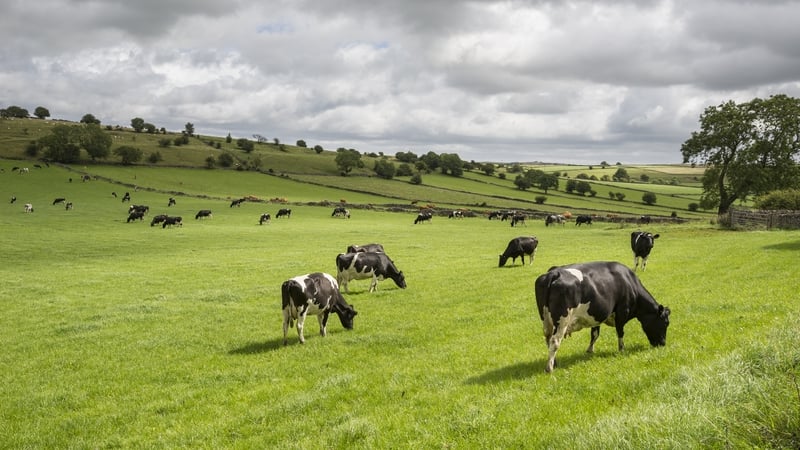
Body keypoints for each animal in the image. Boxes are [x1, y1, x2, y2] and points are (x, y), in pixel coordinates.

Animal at [534, 261, 671, 373]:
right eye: (665, 323)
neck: (630, 283)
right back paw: (549, 368)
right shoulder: (622, 312)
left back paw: (554, 362)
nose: (663, 343)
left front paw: (590, 350)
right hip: (562, 320)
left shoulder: (597, 315)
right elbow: (620, 332)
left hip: (546, 320)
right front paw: (622, 349)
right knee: (555, 341)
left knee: (548, 339)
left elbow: (595, 334)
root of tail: (554, 273)